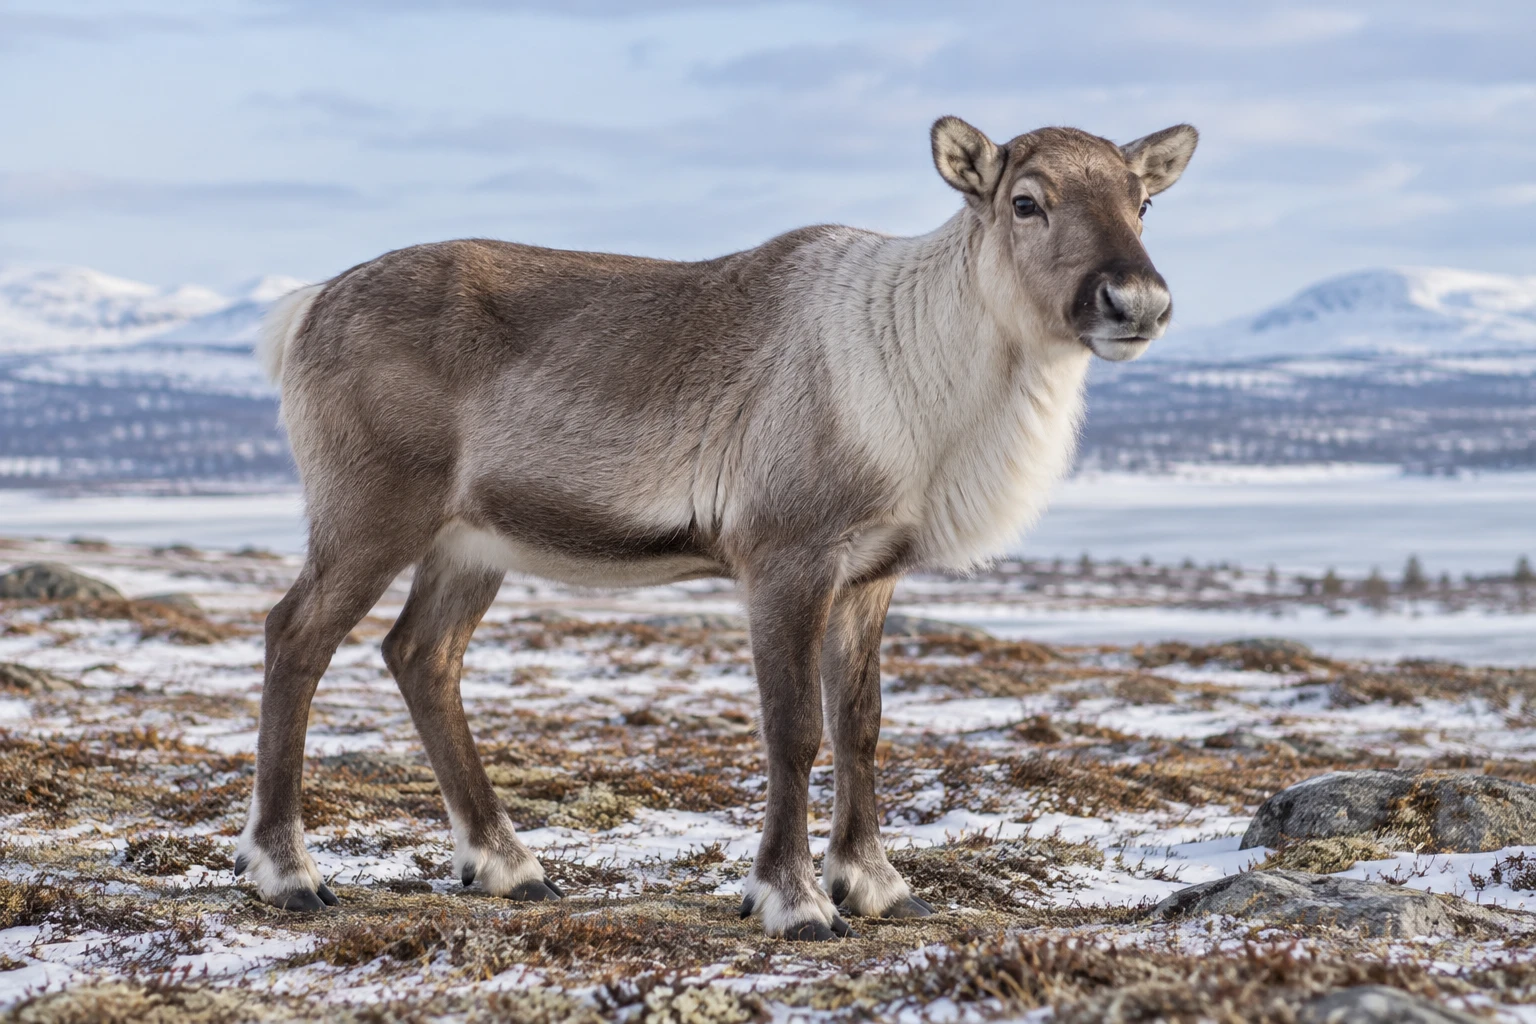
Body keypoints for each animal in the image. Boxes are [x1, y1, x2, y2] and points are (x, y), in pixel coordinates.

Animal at [237, 116, 1197, 940]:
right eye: (1027, 201)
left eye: (1142, 202)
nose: (1137, 301)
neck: (935, 381)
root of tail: (305, 309)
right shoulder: (784, 556)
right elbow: (793, 730)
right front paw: (795, 899)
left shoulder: (871, 571)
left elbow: (861, 723)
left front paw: (878, 885)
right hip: (370, 513)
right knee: (295, 636)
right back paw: (289, 873)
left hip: (471, 543)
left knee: (421, 654)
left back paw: (510, 865)